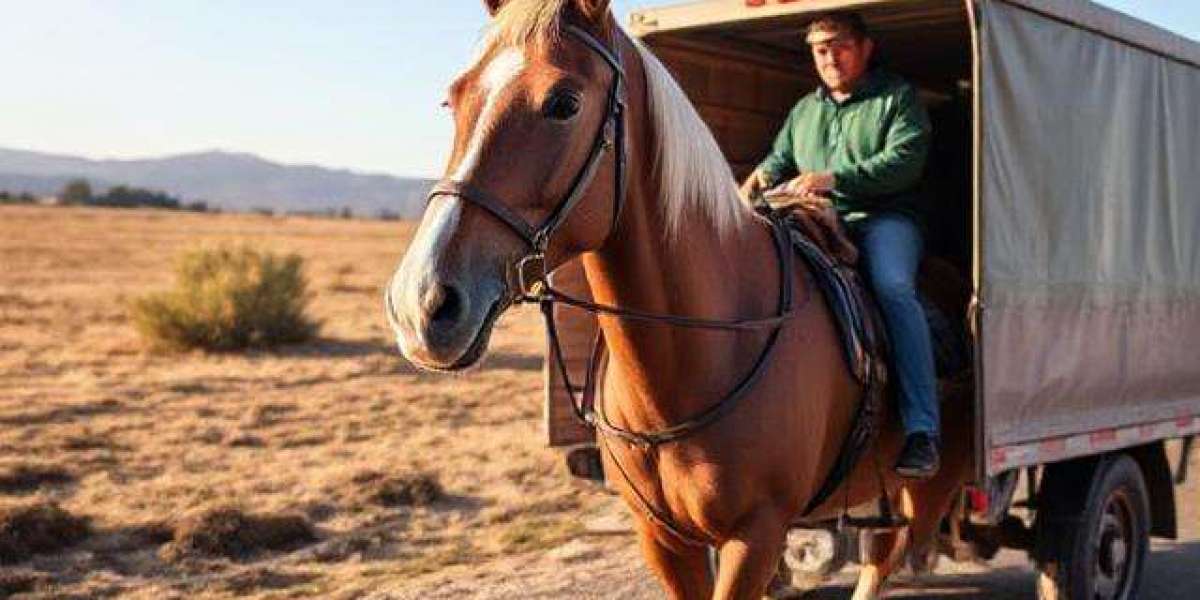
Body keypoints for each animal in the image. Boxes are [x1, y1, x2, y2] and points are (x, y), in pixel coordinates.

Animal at [385, 1, 974, 598]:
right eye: (454, 99)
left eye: (564, 103)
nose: (421, 303)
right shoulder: (664, 539)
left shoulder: (756, 535)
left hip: (930, 478)